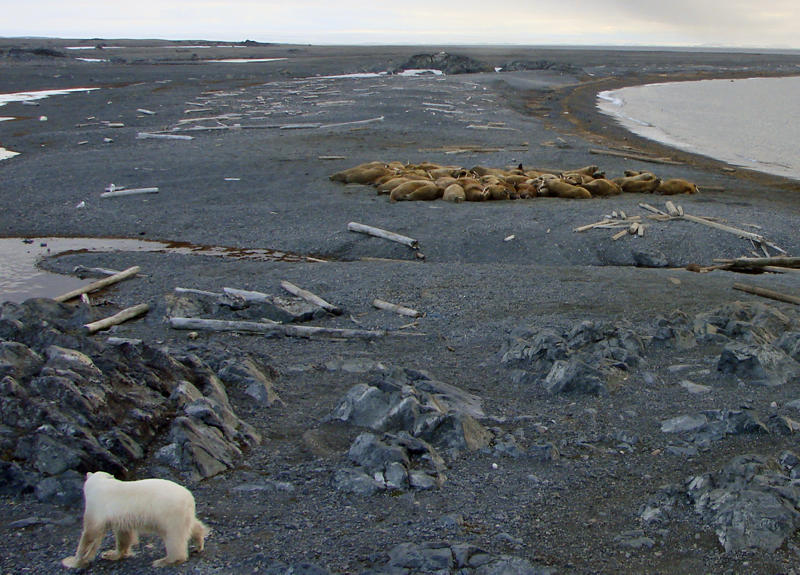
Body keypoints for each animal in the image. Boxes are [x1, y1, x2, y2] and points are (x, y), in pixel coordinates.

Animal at [61, 472, 209, 572]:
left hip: (170, 513)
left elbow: (90, 533)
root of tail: (189, 497)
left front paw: (74, 560)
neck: (100, 484)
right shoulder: (120, 517)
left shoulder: (98, 505)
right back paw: (198, 544)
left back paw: (164, 561)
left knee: (174, 537)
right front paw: (111, 554)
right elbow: (123, 535)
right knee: (193, 526)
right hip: (183, 514)